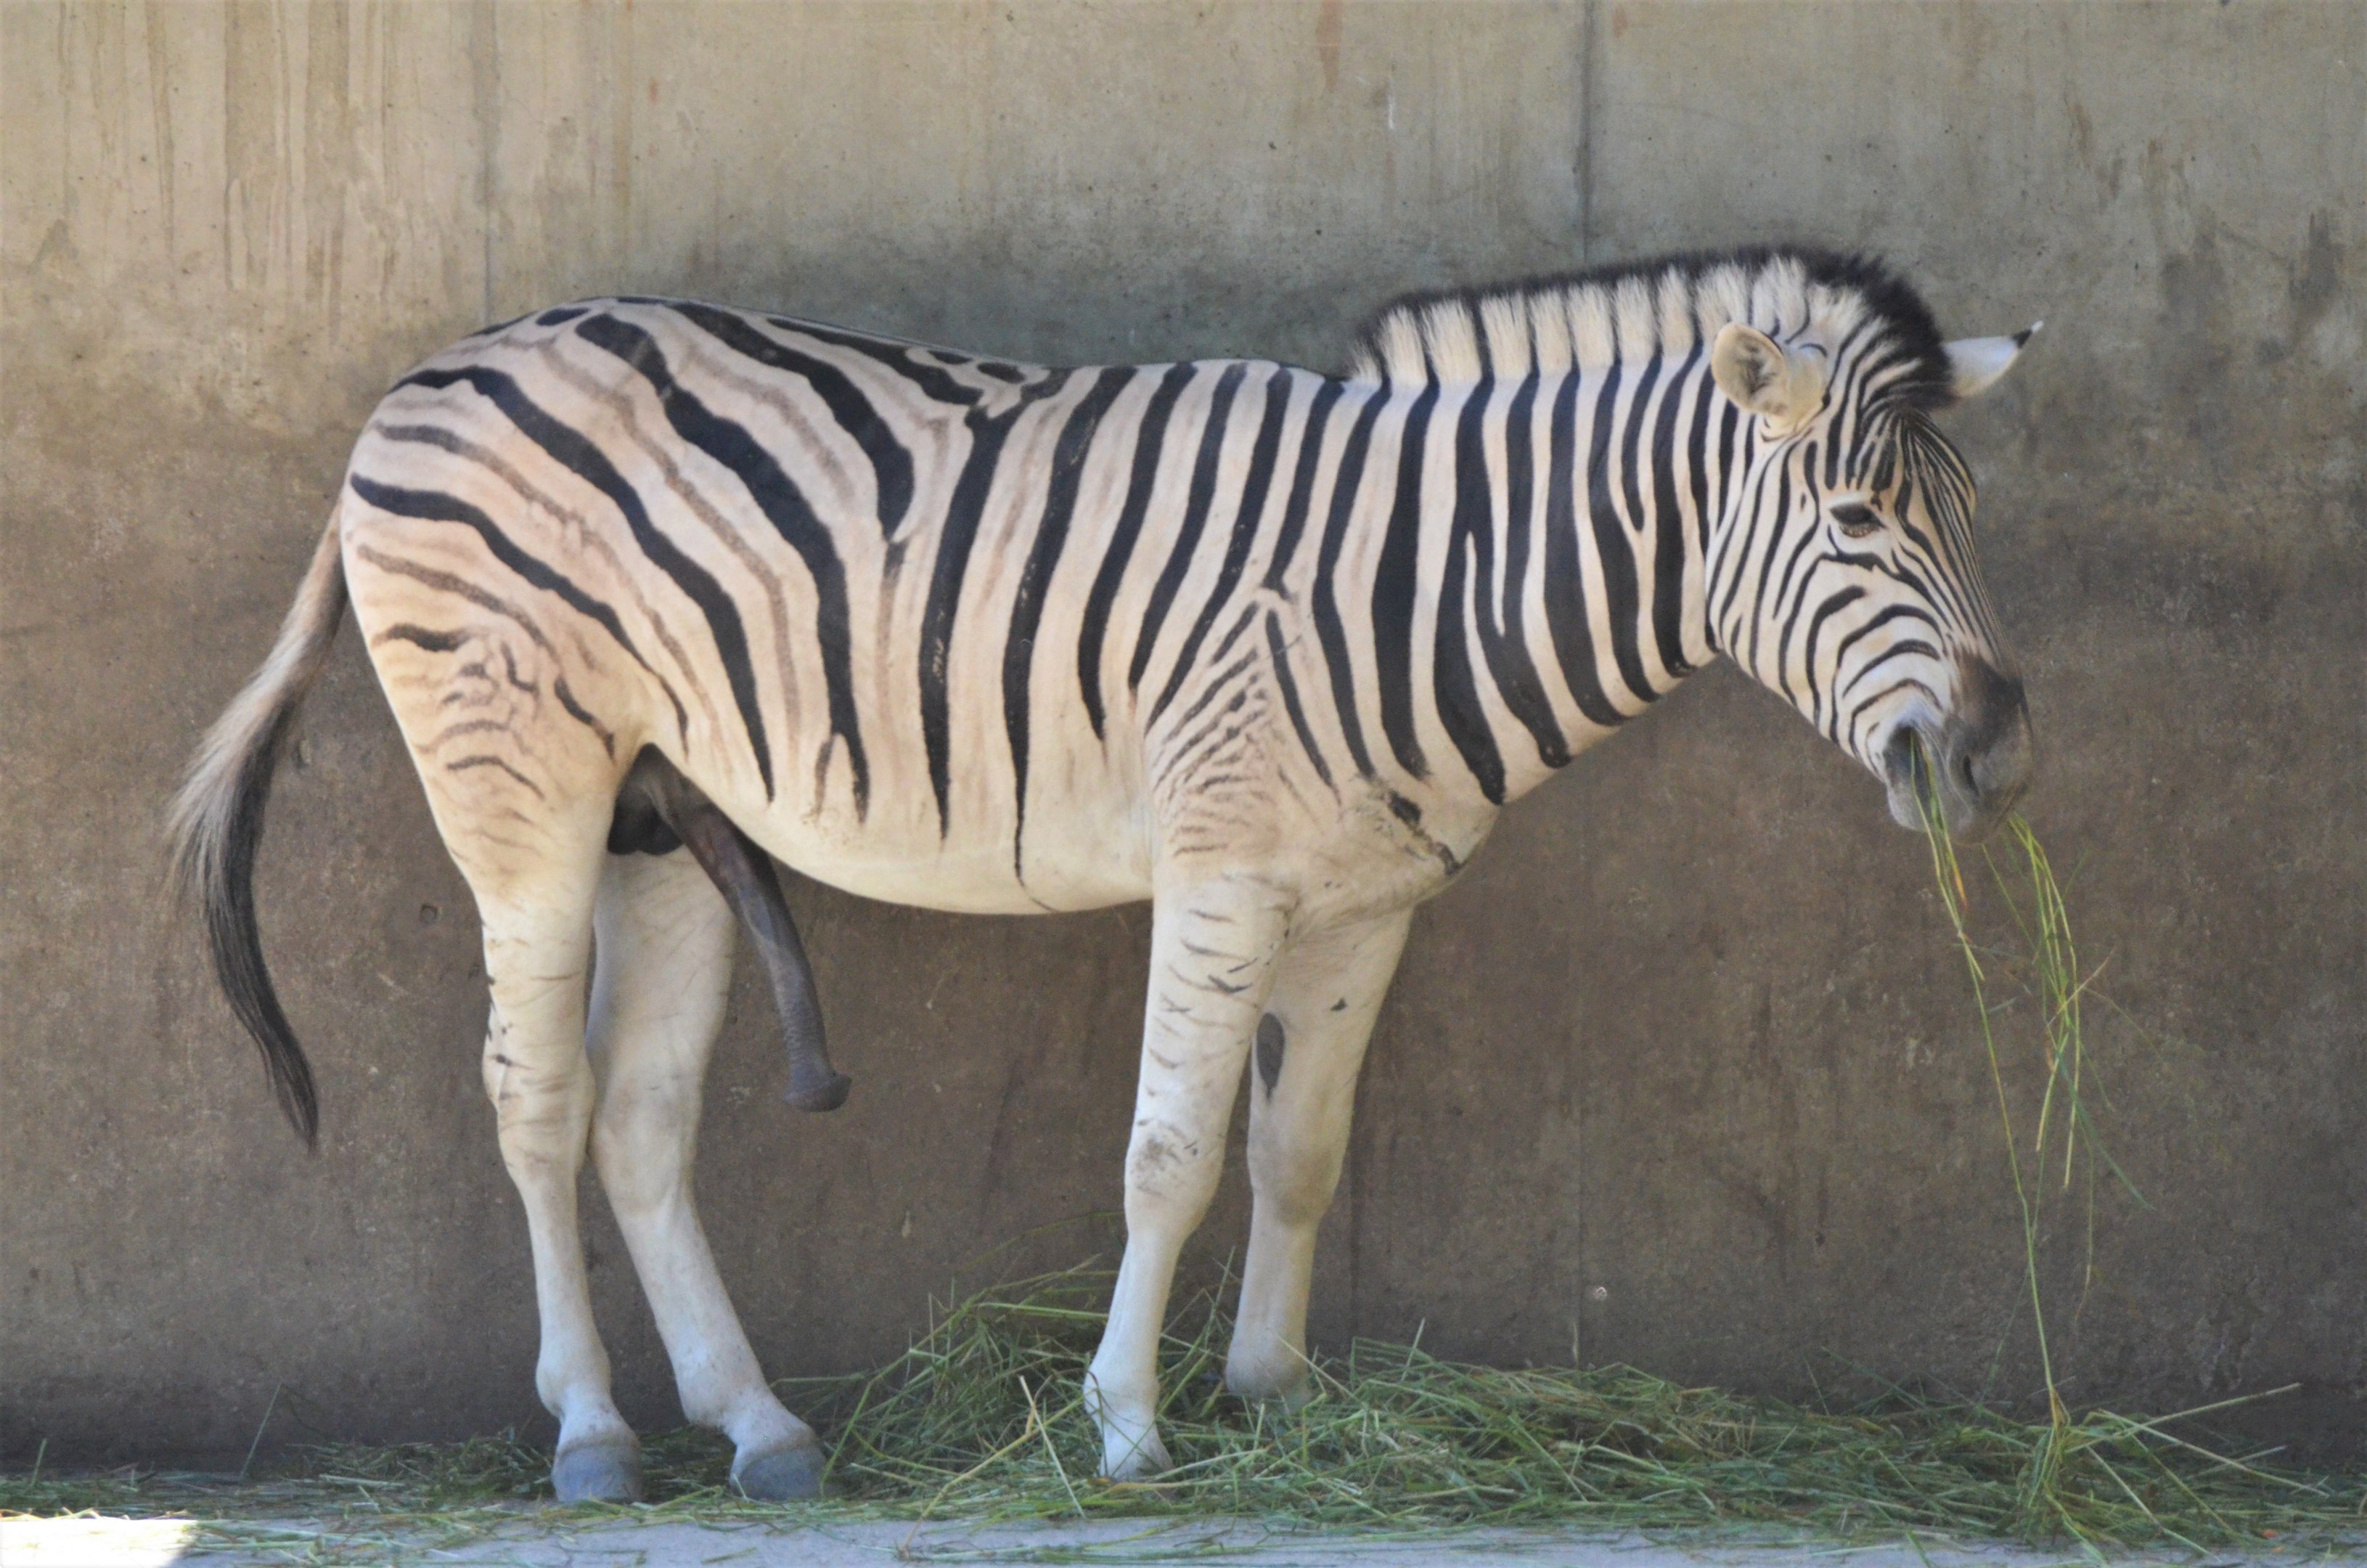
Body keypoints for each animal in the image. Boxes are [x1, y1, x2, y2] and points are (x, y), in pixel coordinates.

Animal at [172, 246, 2036, 1502]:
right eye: (1858, 525)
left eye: (1963, 520)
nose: (1994, 753)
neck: (1428, 580)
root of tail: (437, 364)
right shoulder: (1220, 868)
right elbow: (1168, 1156)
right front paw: (1127, 1421)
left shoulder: (1367, 900)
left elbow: (1297, 1150)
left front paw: (1274, 1391)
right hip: (525, 787)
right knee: (535, 1095)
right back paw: (590, 1433)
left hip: (658, 809)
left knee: (634, 1116)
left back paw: (759, 1426)